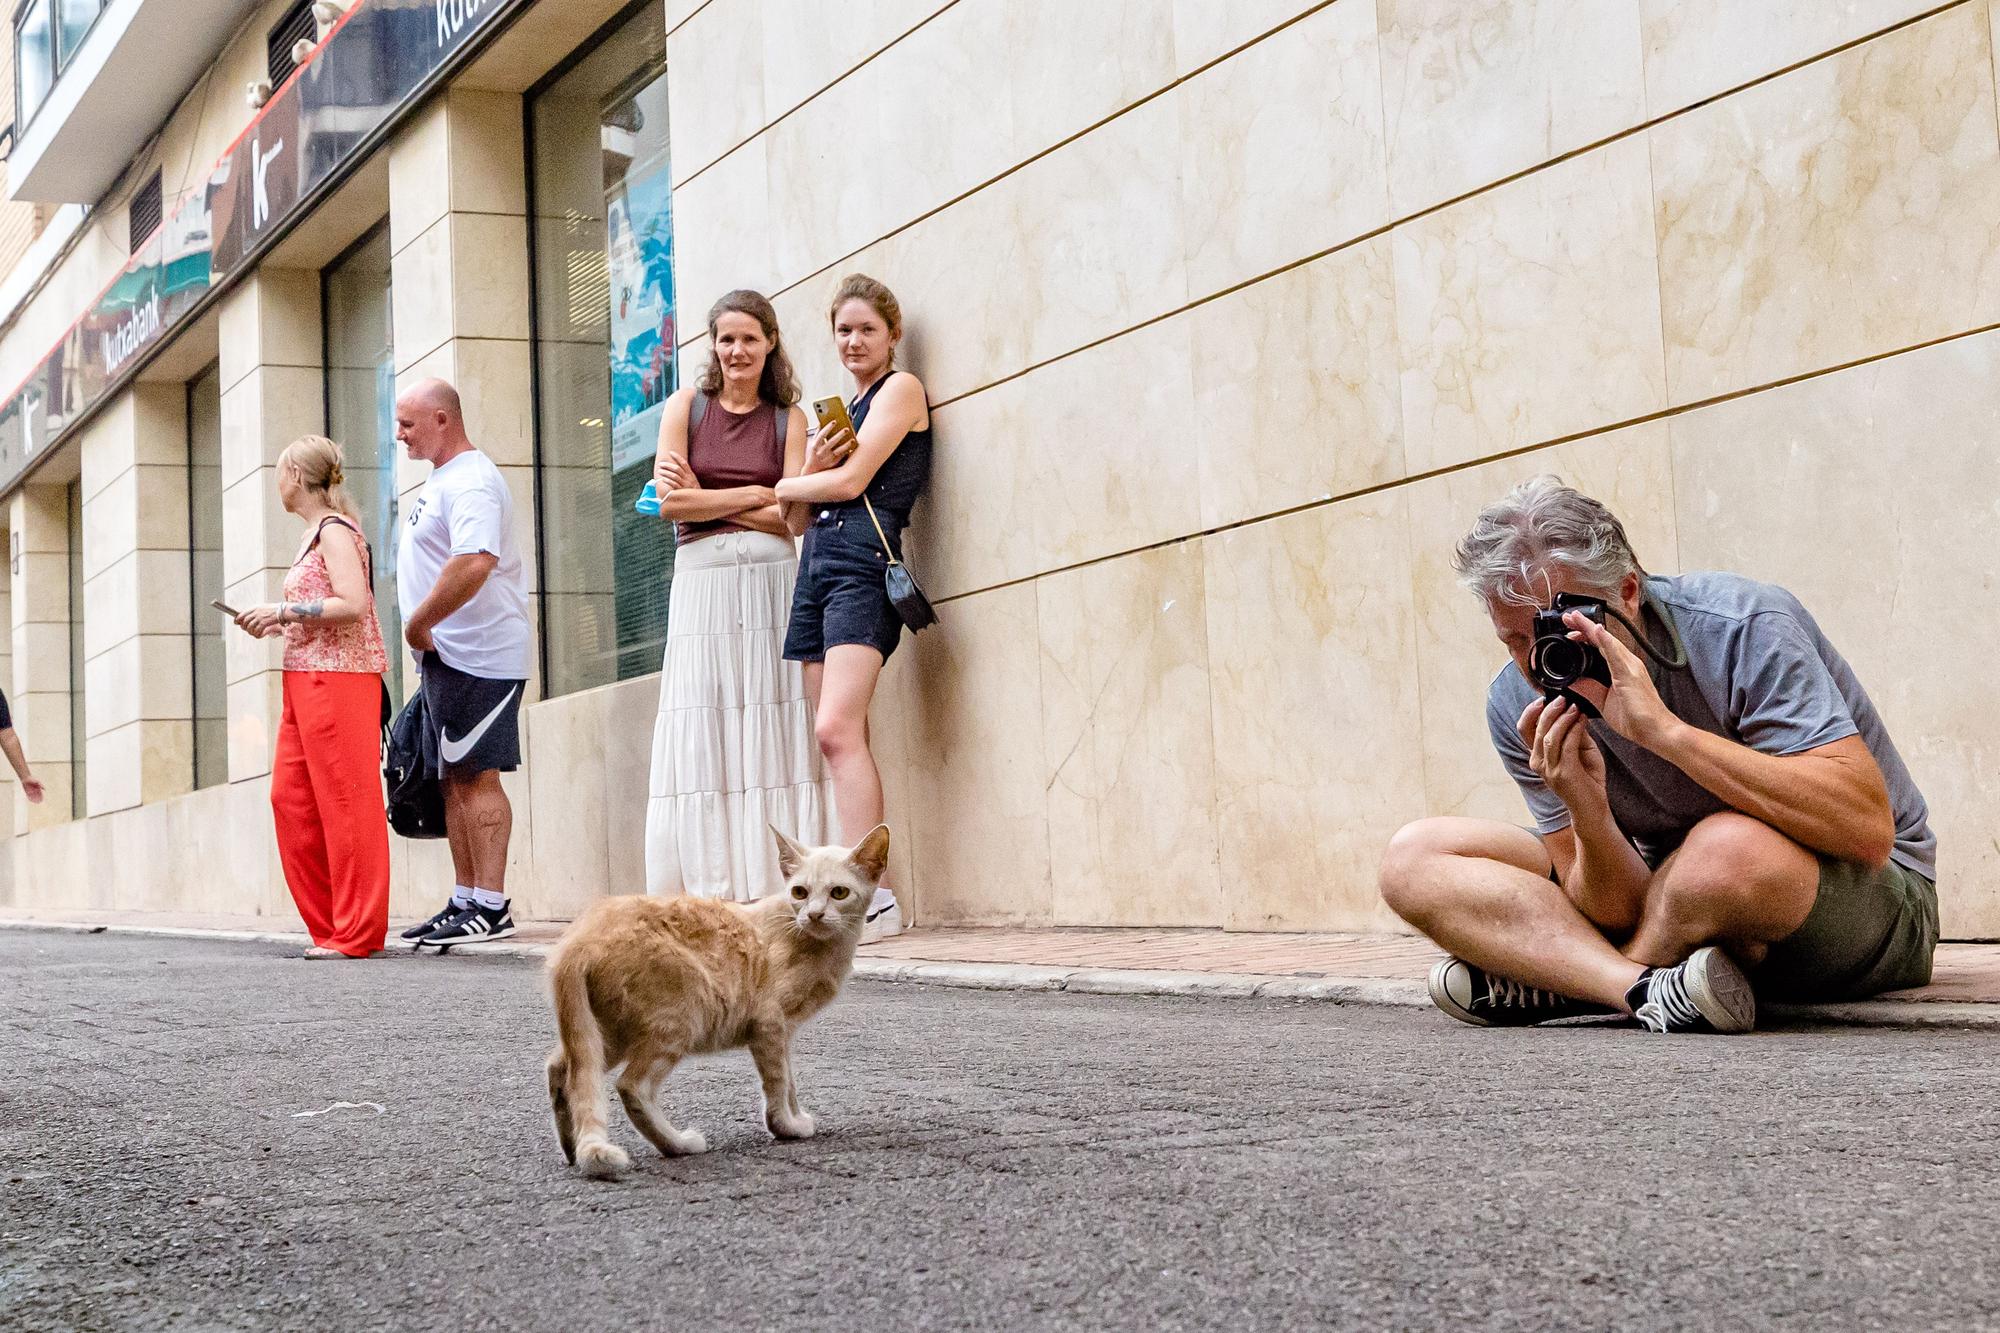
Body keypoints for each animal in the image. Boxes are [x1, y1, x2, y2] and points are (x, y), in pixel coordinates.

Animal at [548, 824, 892, 1176]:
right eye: (799, 892)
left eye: (839, 893)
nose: (815, 914)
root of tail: (580, 939)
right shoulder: (770, 1022)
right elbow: (779, 1080)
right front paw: (785, 1126)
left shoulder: (785, 1030)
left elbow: (791, 1081)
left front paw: (795, 1118)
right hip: (678, 1022)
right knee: (631, 1087)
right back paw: (678, 1145)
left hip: (605, 1033)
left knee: (565, 1071)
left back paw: (571, 1147)